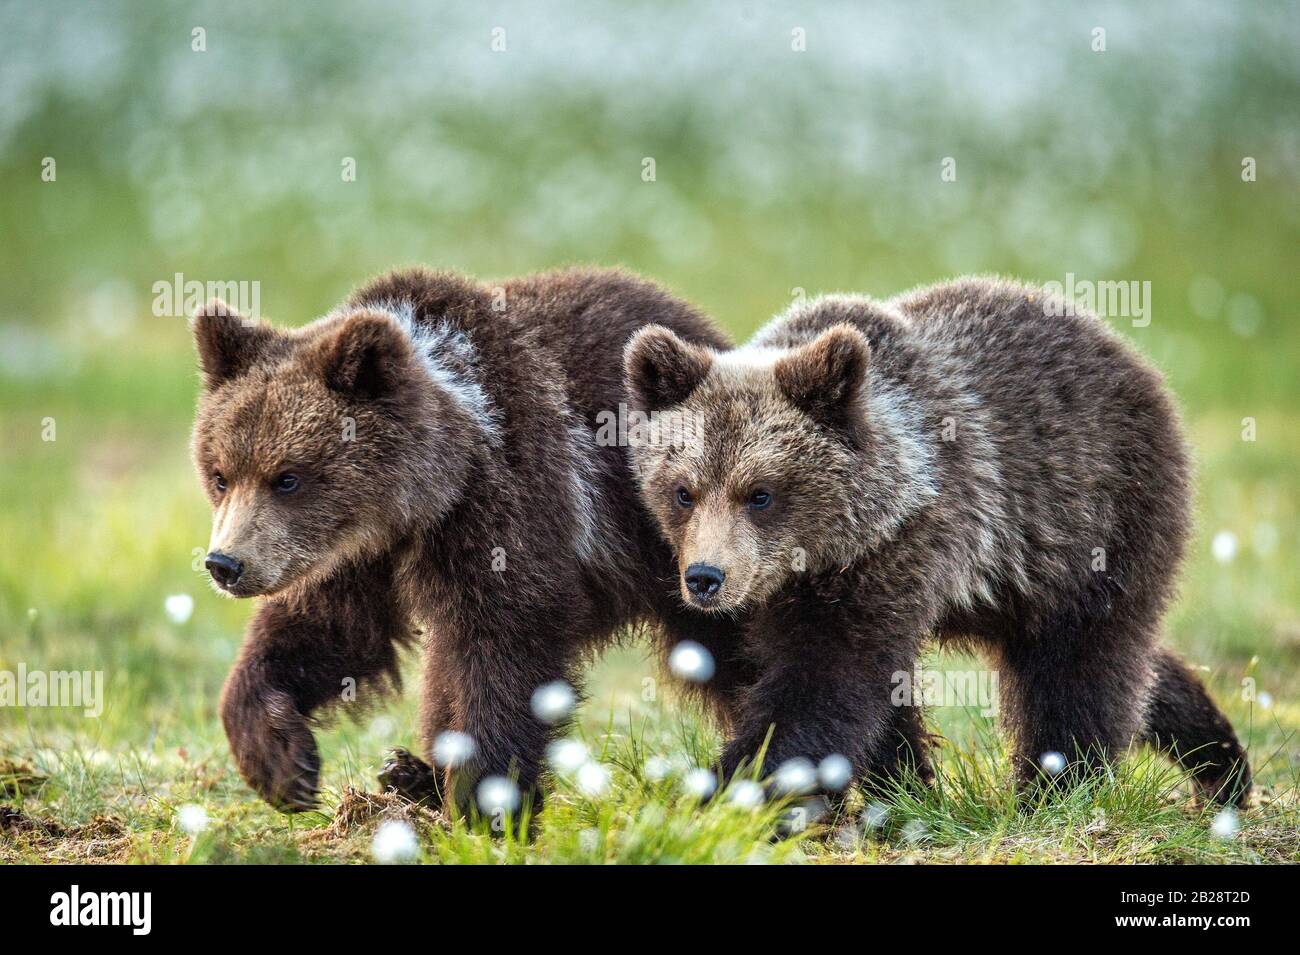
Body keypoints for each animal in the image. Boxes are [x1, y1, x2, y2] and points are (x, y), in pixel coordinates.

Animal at [190, 266, 752, 815]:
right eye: (220, 474)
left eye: (288, 477)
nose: (225, 564)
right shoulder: (355, 556)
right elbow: (330, 631)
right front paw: (282, 760)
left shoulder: (511, 501)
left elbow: (507, 642)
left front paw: (485, 800)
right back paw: (408, 773)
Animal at [623, 276, 1252, 808]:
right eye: (683, 491)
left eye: (760, 493)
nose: (705, 578)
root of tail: (1127, 353)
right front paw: (907, 785)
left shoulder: (896, 552)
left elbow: (823, 682)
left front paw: (724, 794)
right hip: (1021, 575)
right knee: (1133, 664)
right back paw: (1218, 763)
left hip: (1099, 516)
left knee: (1084, 659)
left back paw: (1058, 787)